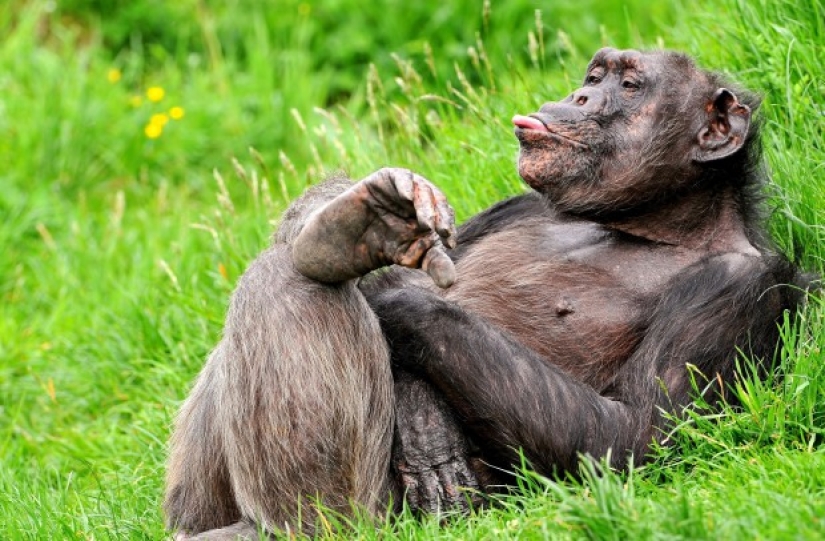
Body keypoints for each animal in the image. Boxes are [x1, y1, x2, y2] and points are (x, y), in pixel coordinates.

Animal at [164, 48, 810, 539]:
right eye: (593, 77)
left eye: (629, 86)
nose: (579, 98)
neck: (644, 224)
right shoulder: (517, 205)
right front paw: (377, 218)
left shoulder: (737, 289)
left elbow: (632, 437)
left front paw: (399, 303)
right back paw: (347, 233)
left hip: (379, 516)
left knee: (291, 285)